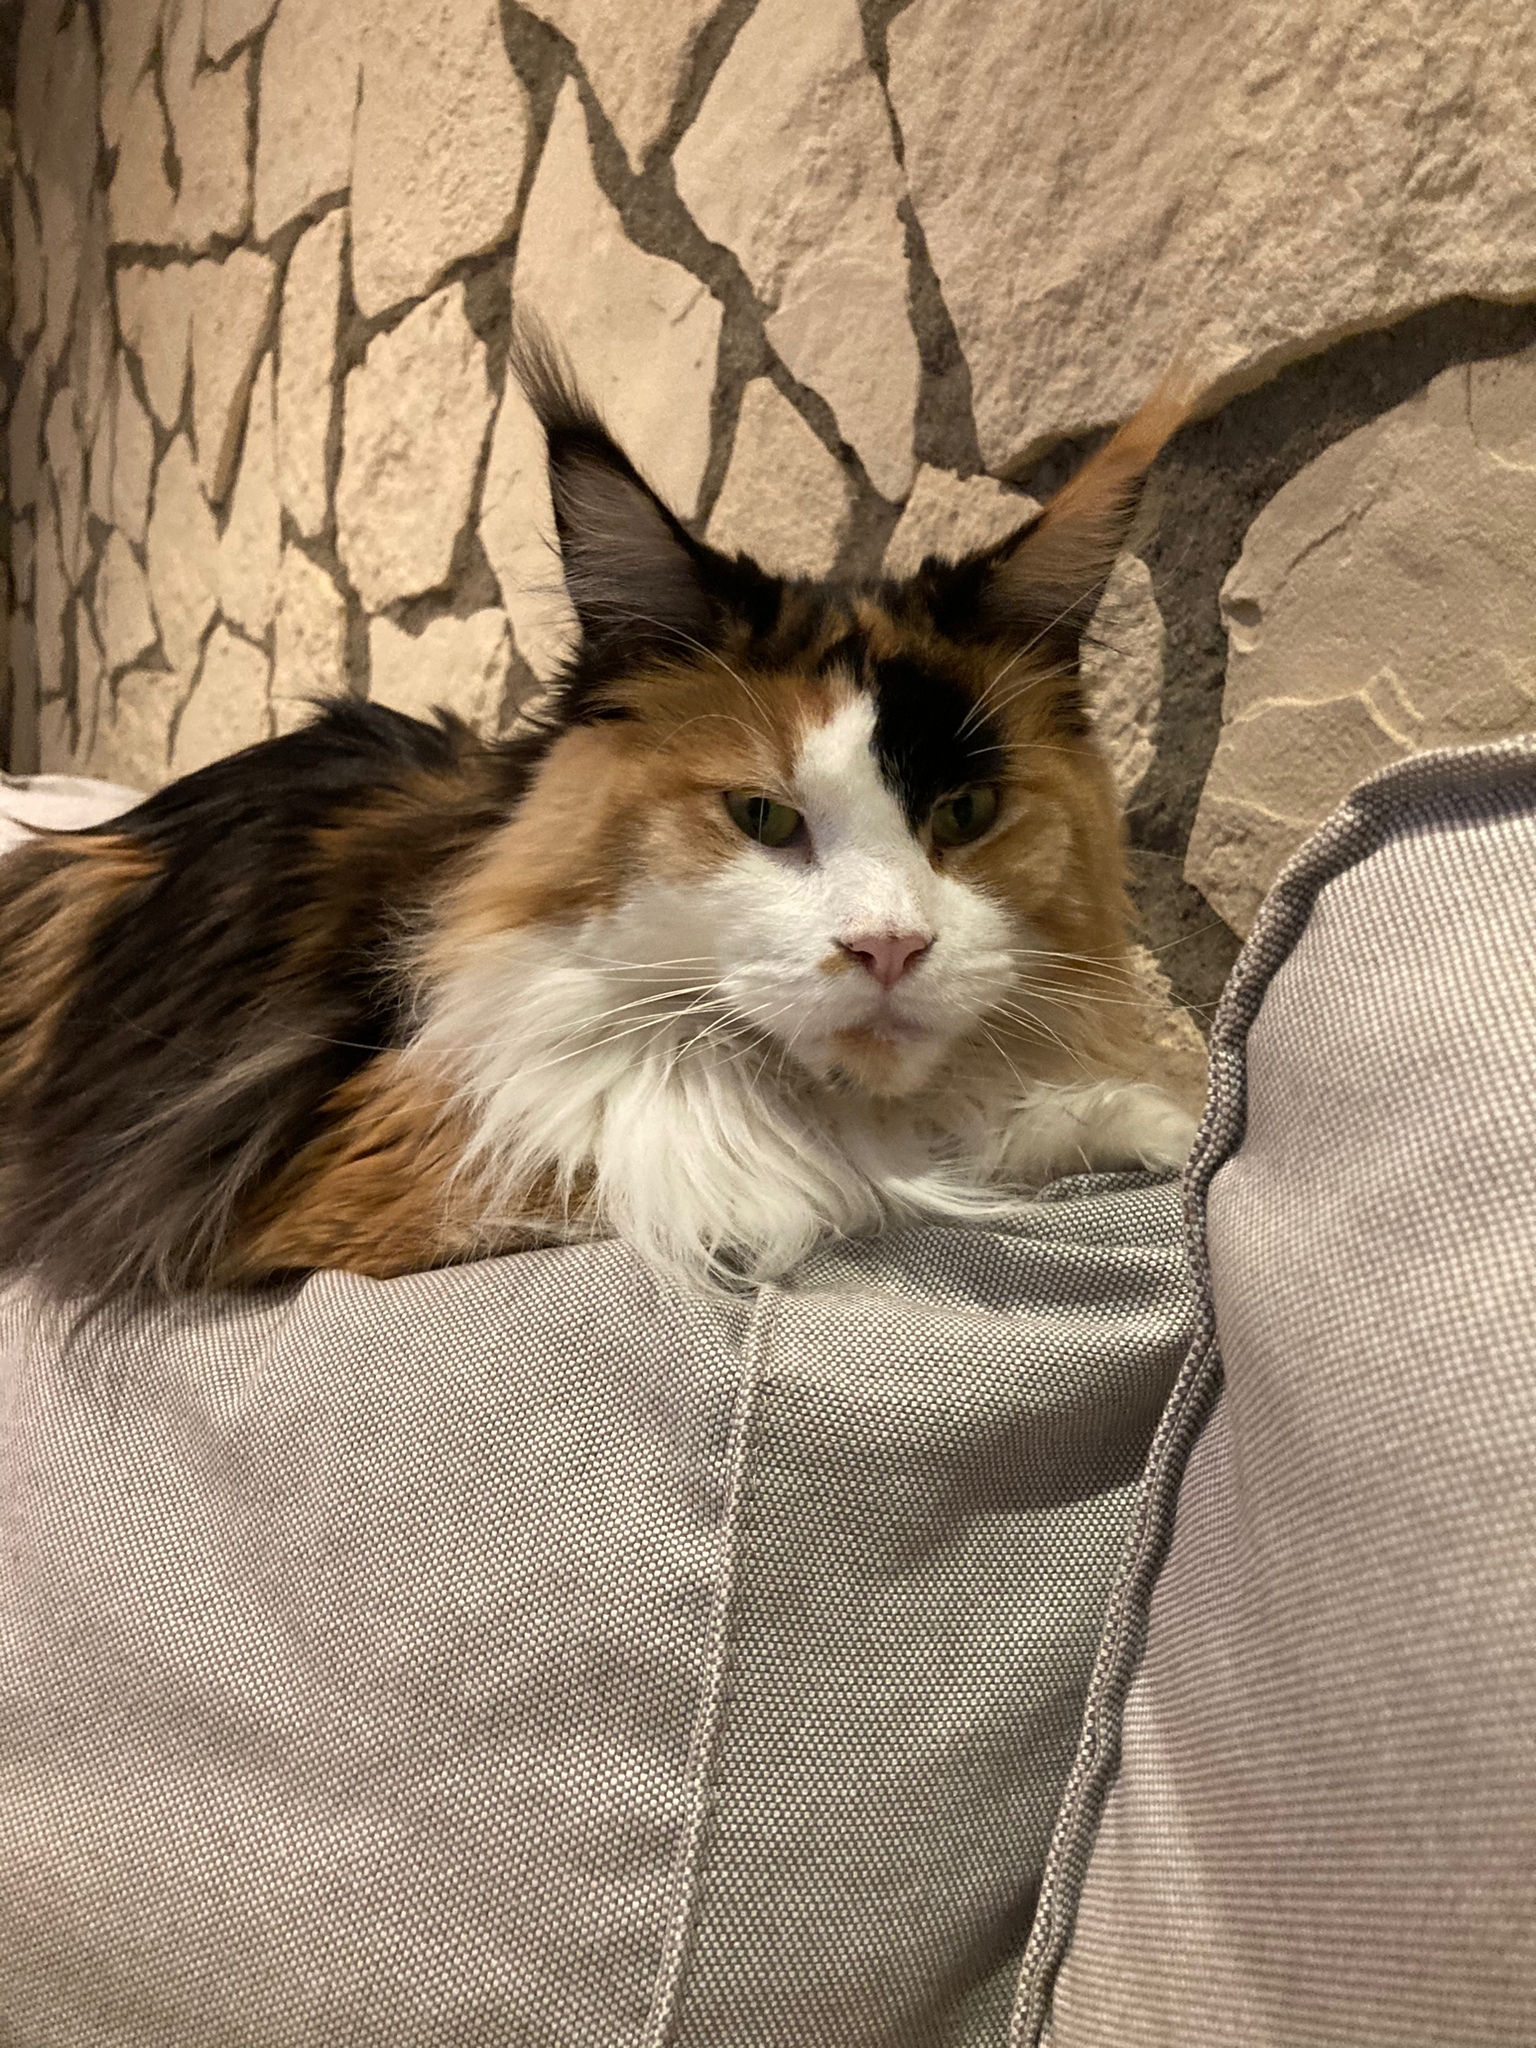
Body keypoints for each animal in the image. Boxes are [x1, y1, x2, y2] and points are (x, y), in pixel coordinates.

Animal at [0, 340, 1201, 1302]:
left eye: (968, 810)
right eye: (761, 814)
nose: (890, 948)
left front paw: (1154, 1124)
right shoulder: (385, 1155)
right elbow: (789, 1173)